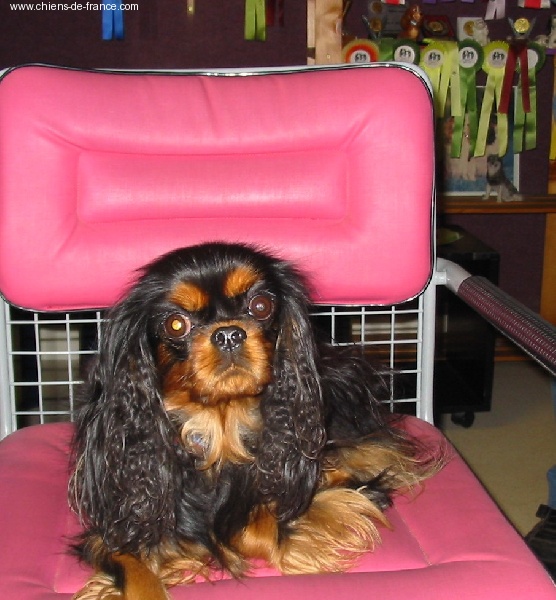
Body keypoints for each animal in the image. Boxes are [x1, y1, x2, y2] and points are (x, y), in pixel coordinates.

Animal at [69, 242, 441, 600]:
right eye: (175, 324)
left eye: (261, 306)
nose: (228, 334)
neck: (220, 427)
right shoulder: (120, 527)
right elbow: (133, 569)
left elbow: (252, 528)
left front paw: (354, 497)